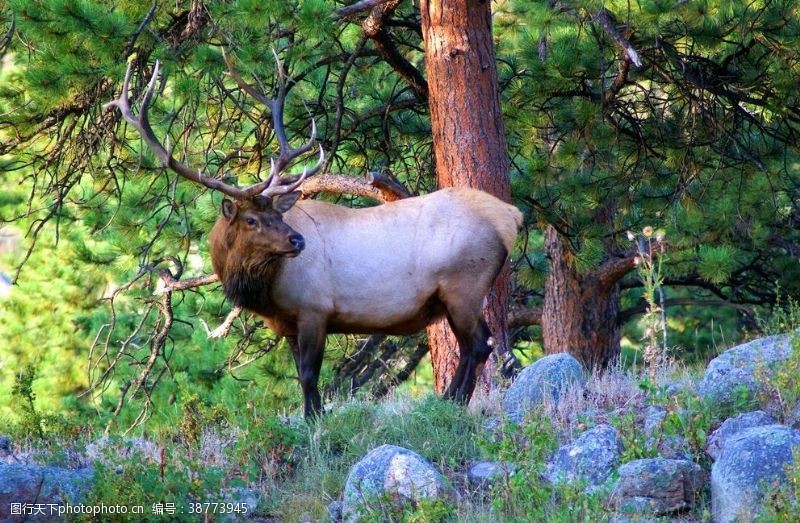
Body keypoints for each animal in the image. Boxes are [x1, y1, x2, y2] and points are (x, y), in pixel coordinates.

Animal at [106, 57, 520, 418]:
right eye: (253, 219)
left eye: (277, 214)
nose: (298, 241)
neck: (266, 291)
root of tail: (510, 217)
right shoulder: (288, 323)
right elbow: (299, 375)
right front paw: (314, 417)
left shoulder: (314, 309)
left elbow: (309, 374)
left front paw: (313, 423)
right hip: (456, 295)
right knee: (477, 345)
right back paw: (448, 401)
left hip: (463, 285)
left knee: (478, 345)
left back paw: (453, 403)